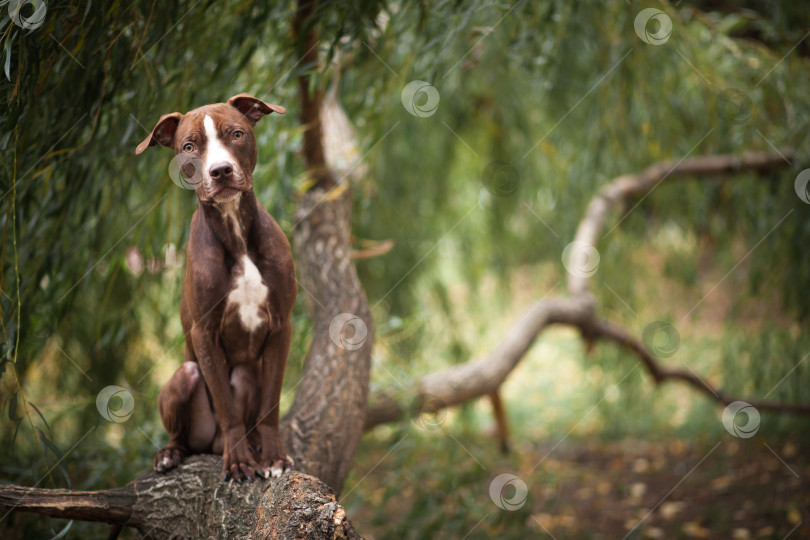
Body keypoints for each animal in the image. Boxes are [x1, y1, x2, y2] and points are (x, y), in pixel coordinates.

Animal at [136, 93, 296, 480]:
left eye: (236, 134)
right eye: (189, 147)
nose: (220, 171)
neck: (234, 228)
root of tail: (211, 444)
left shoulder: (282, 326)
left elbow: (271, 404)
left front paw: (274, 457)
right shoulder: (204, 333)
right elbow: (226, 406)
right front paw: (238, 462)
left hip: (248, 372)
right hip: (186, 376)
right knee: (185, 434)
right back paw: (171, 454)